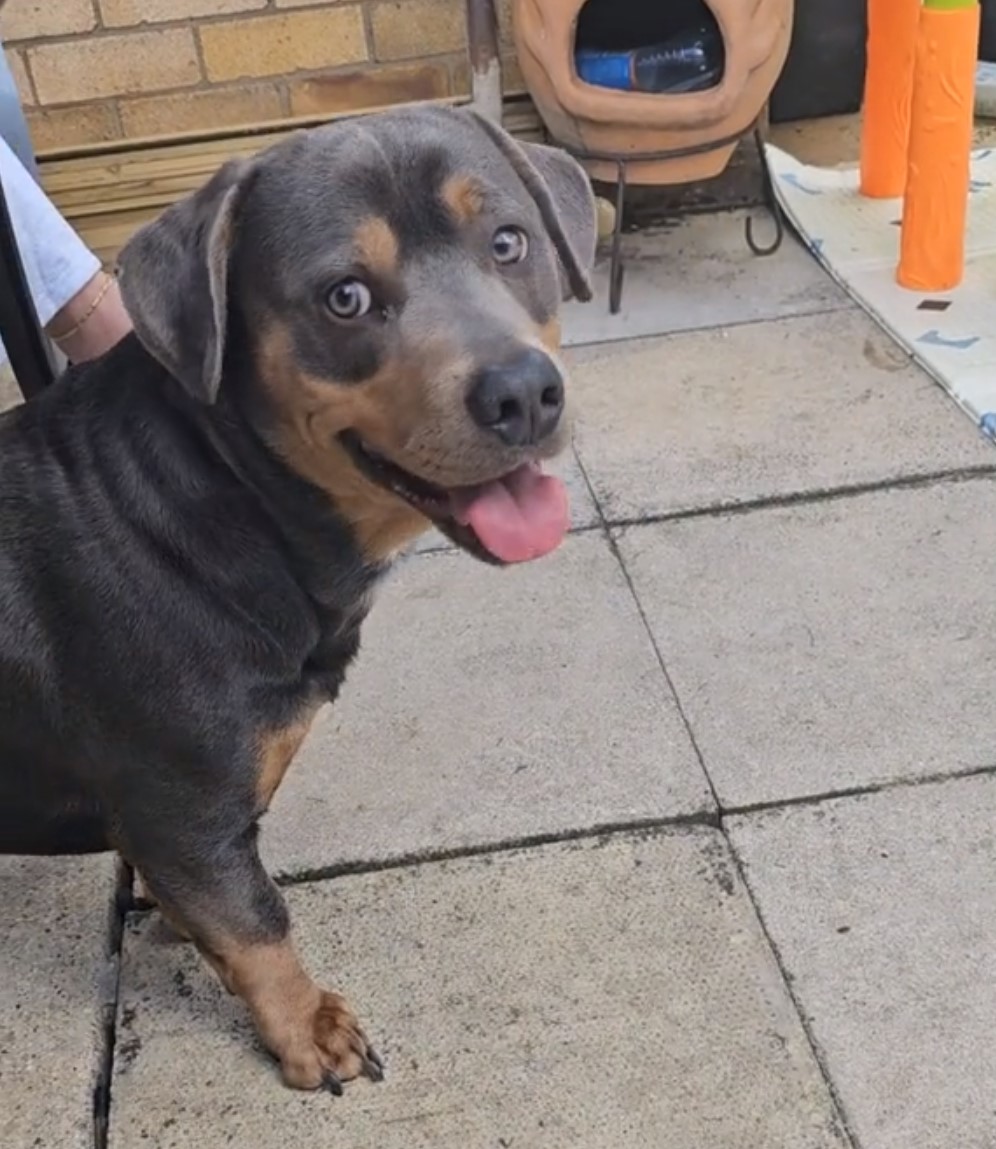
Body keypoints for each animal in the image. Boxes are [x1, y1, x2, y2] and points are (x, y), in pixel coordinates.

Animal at [0, 108, 597, 1093]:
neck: (230, 496)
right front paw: (309, 1029)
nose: (525, 391)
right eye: (343, 297)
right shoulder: (184, 808)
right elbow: (259, 925)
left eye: (510, 242)